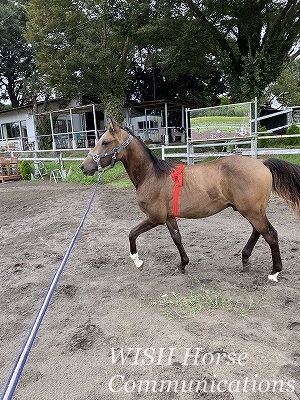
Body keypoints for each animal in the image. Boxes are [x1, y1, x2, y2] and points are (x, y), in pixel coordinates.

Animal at [81, 117, 300, 282]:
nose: (84, 167)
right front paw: (183, 264)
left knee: (270, 234)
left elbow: (132, 233)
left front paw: (138, 262)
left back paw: (274, 272)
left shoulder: (154, 218)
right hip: (252, 210)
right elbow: (177, 238)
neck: (152, 175)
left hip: (252, 211)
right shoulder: (169, 218)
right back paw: (245, 259)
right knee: (258, 231)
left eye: (105, 142)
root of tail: (261, 163)